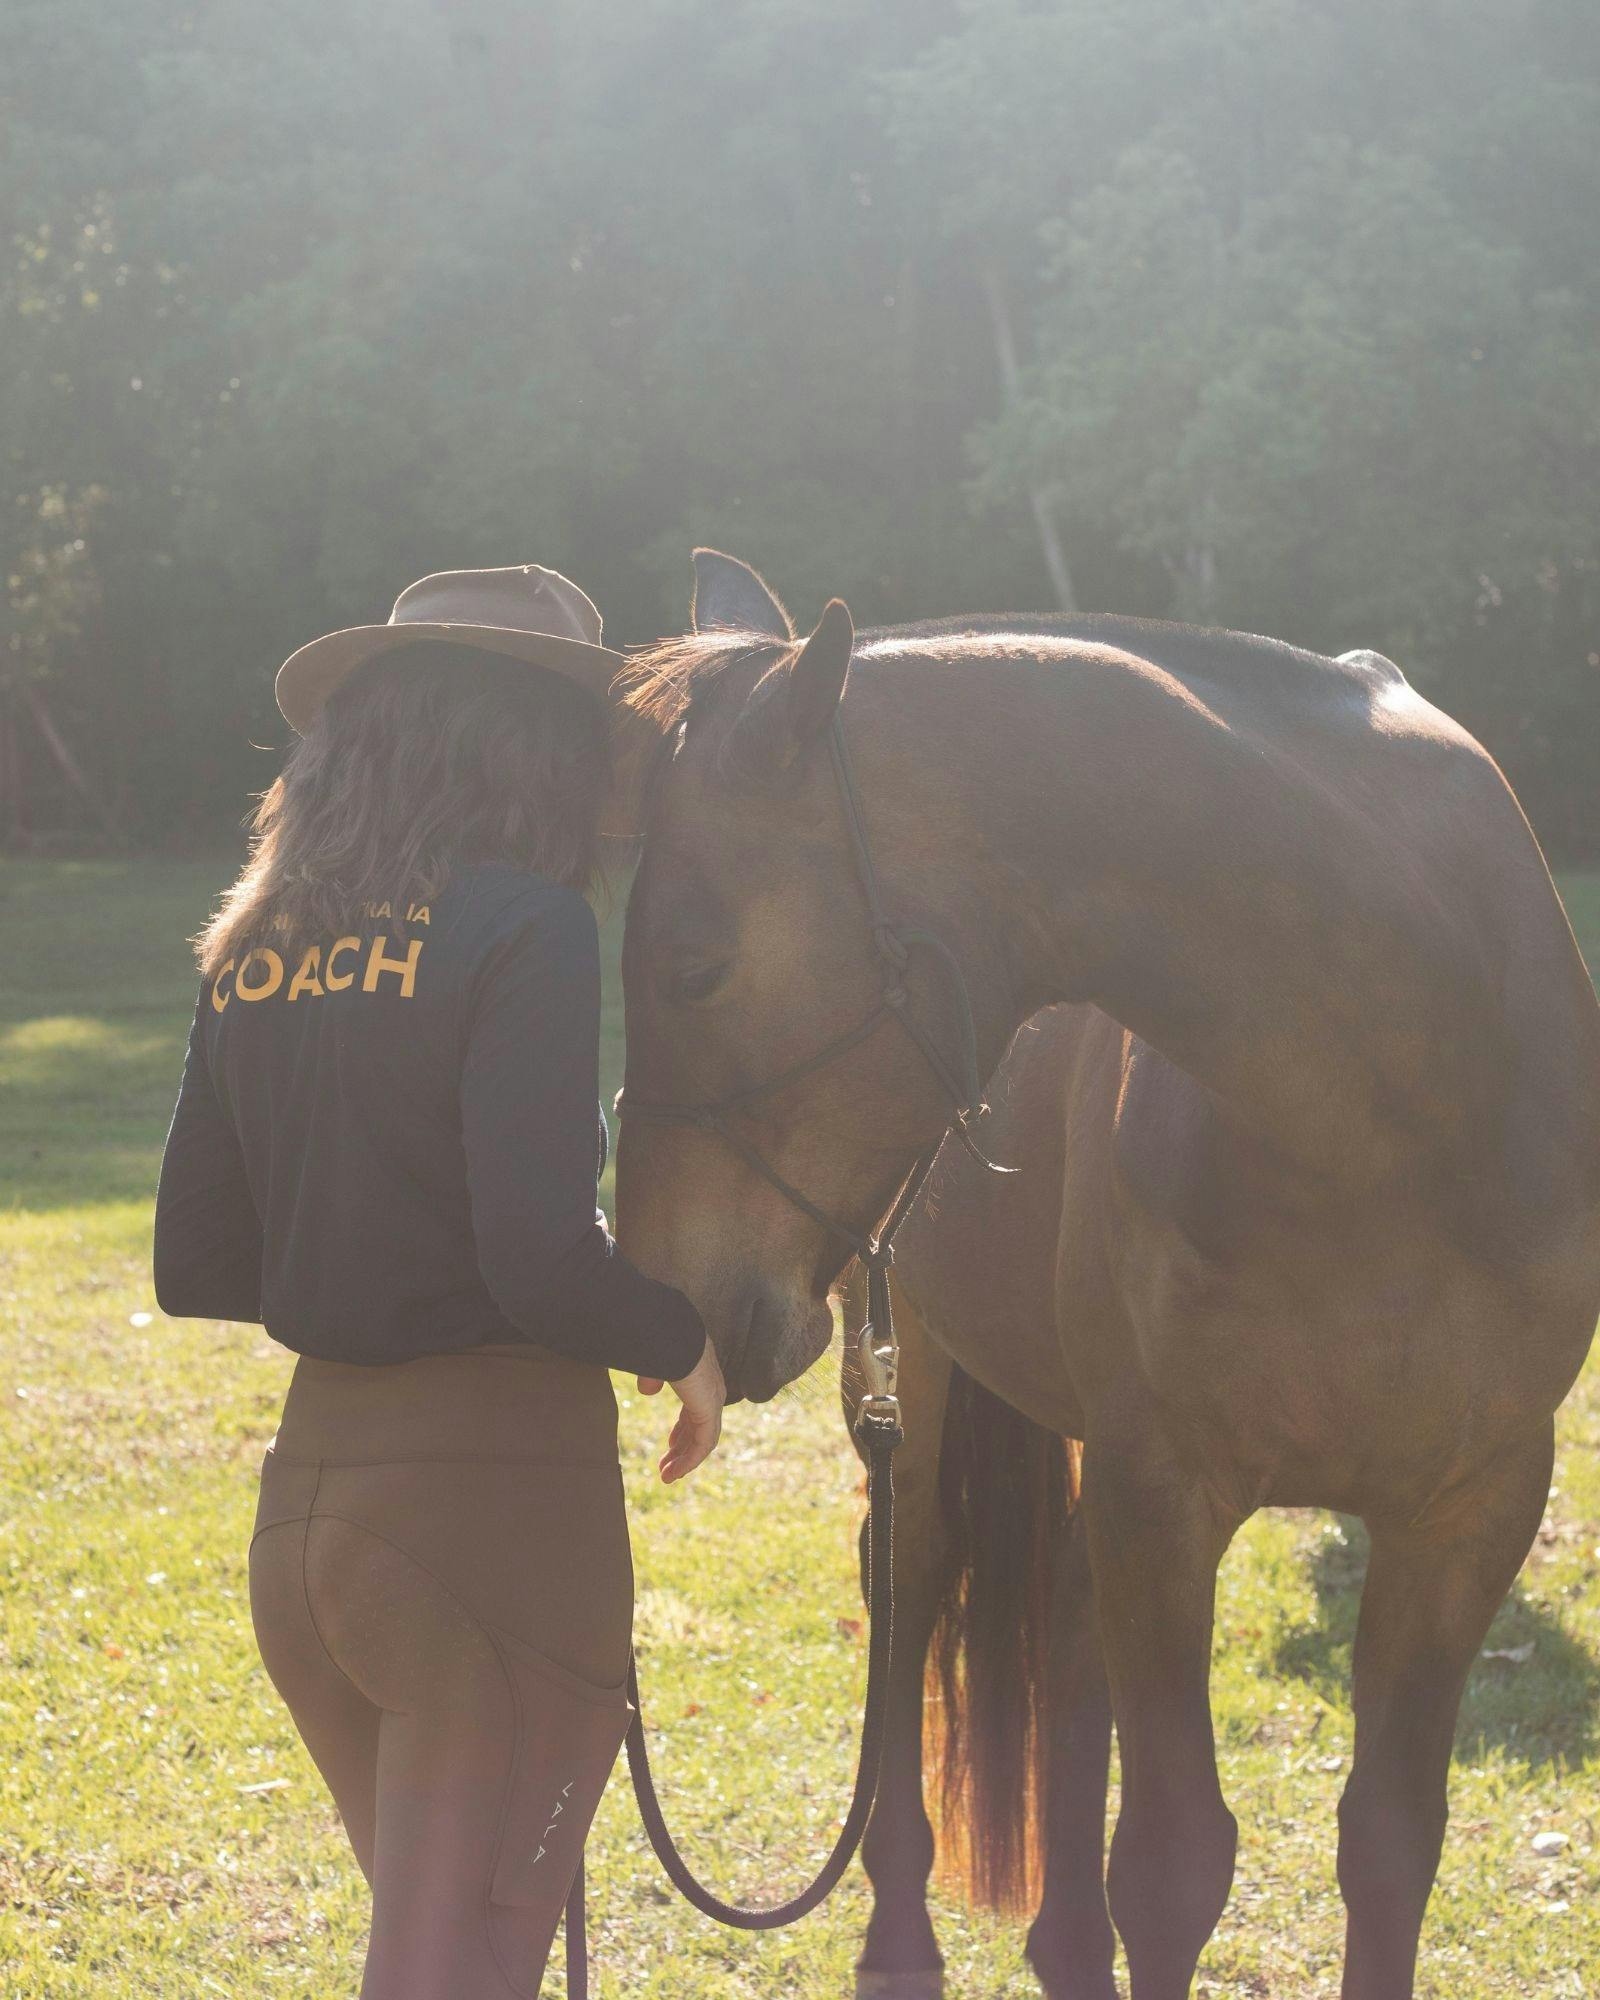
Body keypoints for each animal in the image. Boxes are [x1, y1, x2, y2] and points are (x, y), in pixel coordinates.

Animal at [547, 550, 1600, 1998]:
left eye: (693, 968)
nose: (666, 1302)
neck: (1398, 1108)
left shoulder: (1468, 1510)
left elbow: (1388, 1843)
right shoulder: (1165, 1495)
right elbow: (1171, 1863)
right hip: (918, 1386)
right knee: (911, 1583)